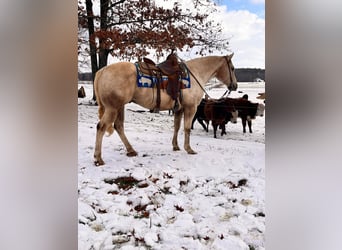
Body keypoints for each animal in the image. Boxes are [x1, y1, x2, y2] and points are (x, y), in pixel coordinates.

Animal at [93, 53, 238, 165]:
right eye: (232, 68)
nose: (235, 86)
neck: (196, 73)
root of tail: (102, 71)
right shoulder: (190, 108)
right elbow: (186, 128)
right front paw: (189, 149)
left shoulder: (179, 109)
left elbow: (176, 127)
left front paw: (175, 146)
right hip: (112, 108)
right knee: (101, 127)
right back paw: (98, 158)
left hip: (119, 107)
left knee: (119, 126)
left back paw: (131, 150)